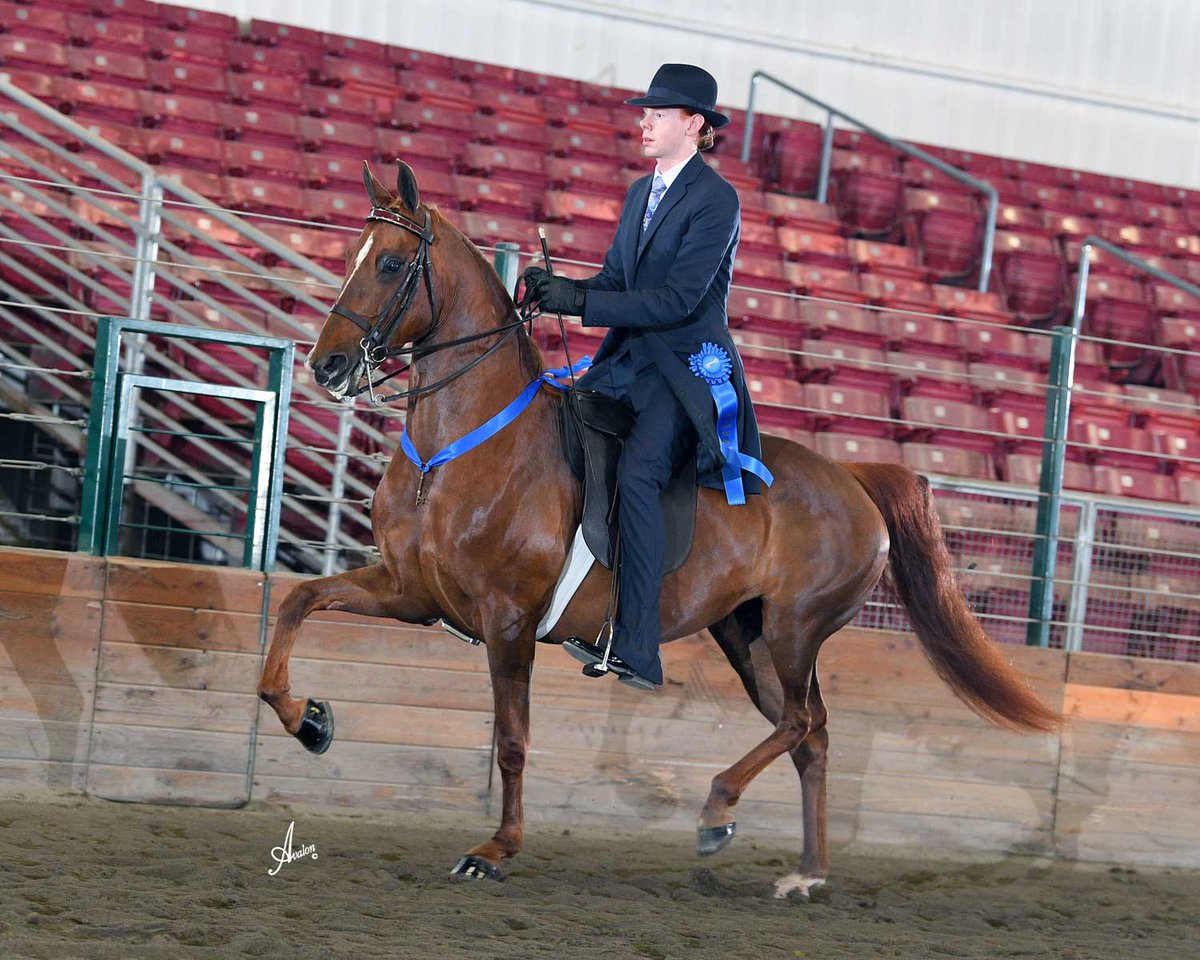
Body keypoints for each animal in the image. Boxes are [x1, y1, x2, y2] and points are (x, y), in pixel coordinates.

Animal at [257, 161, 1060, 898]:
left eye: (392, 263)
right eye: (352, 255)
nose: (327, 366)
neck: (456, 451)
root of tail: (852, 478)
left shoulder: (507, 619)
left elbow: (512, 740)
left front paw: (494, 850)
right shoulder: (411, 594)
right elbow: (297, 604)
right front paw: (310, 722)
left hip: (796, 628)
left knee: (802, 724)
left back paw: (718, 810)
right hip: (747, 636)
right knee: (813, 735)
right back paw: (806, 872)